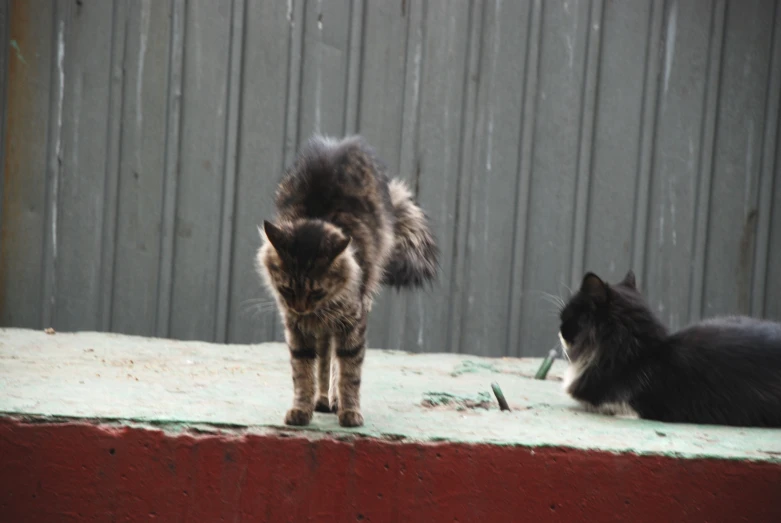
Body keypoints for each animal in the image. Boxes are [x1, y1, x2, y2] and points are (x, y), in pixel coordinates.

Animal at [258, 135, 436, 430]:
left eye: (316, 292)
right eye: (286, 289)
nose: (300, 309)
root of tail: (340, 142)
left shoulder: (352, 322)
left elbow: (349, 372)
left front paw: (350, 411)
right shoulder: (297, 329)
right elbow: (303, 373)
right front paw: (301, 409)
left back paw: (334, 399)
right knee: (324, 356)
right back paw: (321, 398)